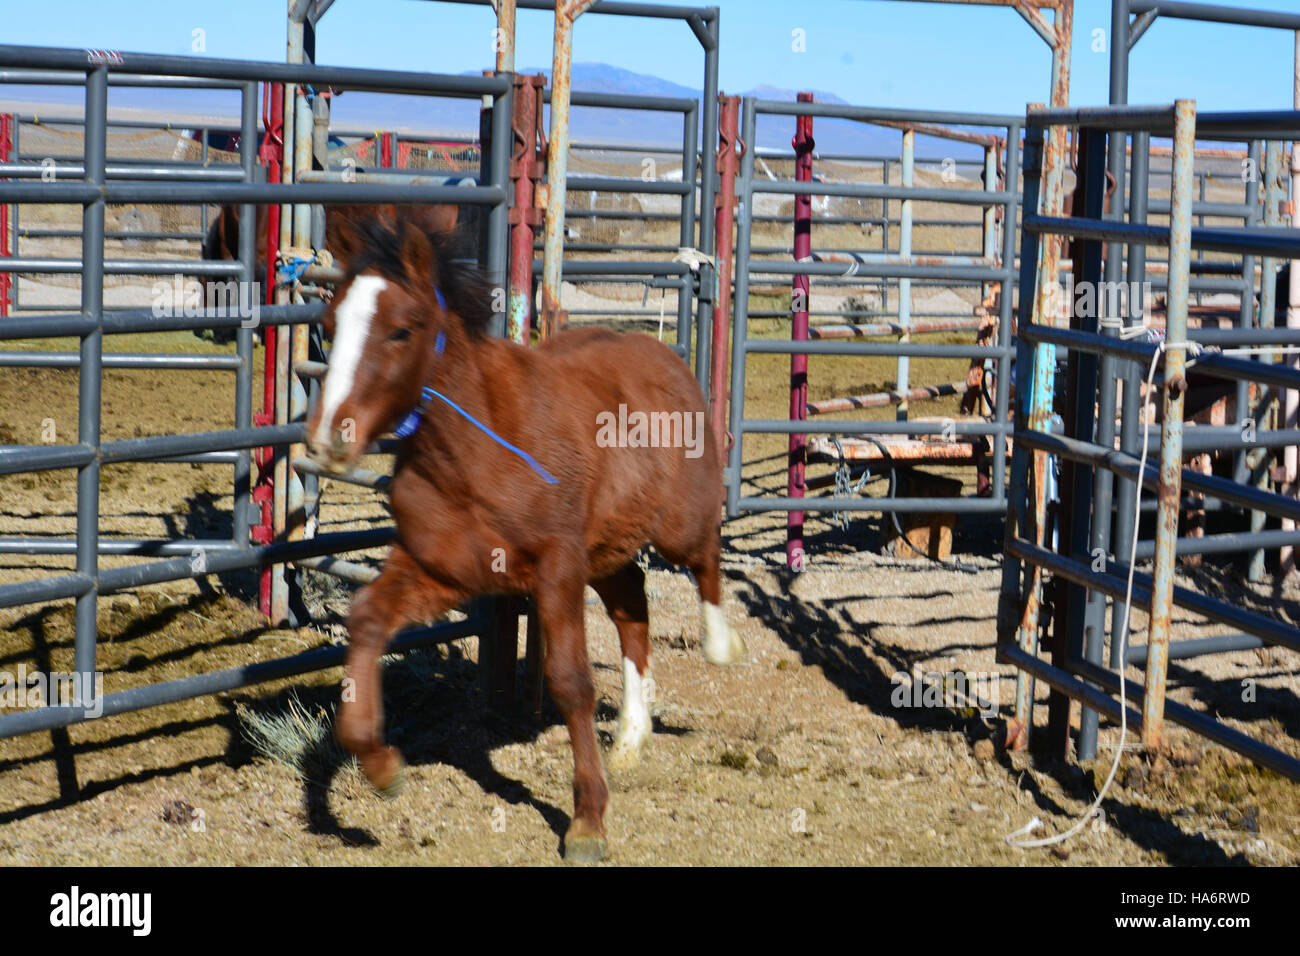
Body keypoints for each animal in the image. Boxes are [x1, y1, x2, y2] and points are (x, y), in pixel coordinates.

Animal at [304, 219, 745, 862]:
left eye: (400, 330)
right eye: (332, 326)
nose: (328, 439)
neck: (475, 453)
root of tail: (666, 355)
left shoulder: (557, 568)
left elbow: (571, 681)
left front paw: (587, 822)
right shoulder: (443, 569)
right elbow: (366, 617)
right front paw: (381, 765)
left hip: (676, 526)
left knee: (706, 557)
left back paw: (719, 646)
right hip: (607, 551)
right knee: (633, 606)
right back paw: (631, 739)